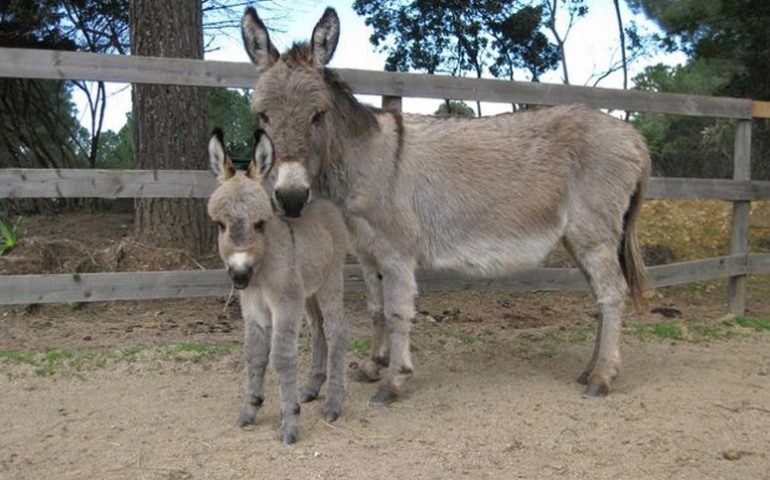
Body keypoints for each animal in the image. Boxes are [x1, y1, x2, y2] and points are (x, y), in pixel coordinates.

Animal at [206, 129, 346, 444]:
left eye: (260, 224)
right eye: (220, 225)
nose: (239, 275)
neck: (260, 272)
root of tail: (325, 203)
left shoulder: (284, 304)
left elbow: (281, 357)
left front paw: (290, 422)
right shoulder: (254, 309)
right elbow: (254, 355)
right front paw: (250, 410)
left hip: (330, 281)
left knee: (336, 331)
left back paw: (333, 404)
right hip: (308, 292)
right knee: (318, 329)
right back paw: (312, 388)